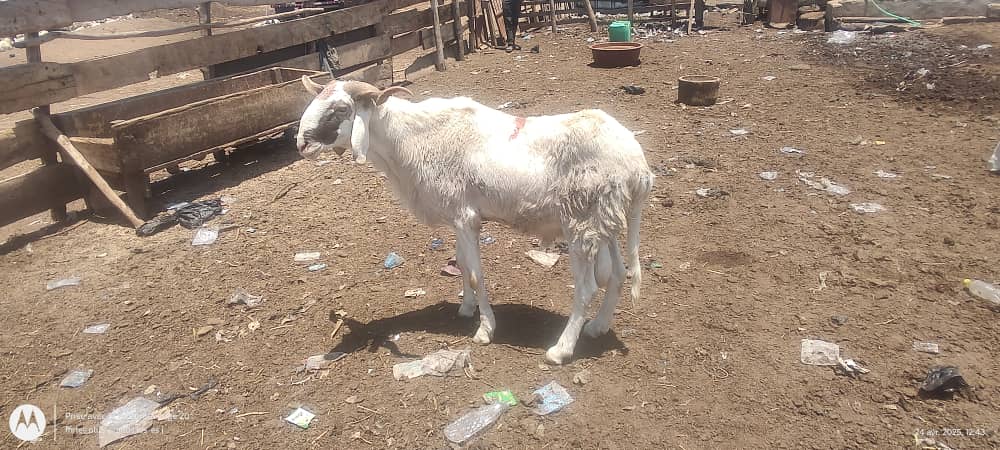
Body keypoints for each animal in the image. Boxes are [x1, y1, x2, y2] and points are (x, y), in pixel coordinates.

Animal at [296, 77, 654, 364]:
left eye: (341, 109)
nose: (301, 143)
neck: (408, 141)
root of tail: (639, 168)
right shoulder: (458, 214)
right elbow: (463, 265)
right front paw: (466, 308)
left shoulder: (466, 218)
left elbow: (476, 274)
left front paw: (485, 329)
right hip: (603, 219)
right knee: (618, 274)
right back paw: (597, 327)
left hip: (581, 223)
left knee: (587, 287)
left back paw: (561, 349)